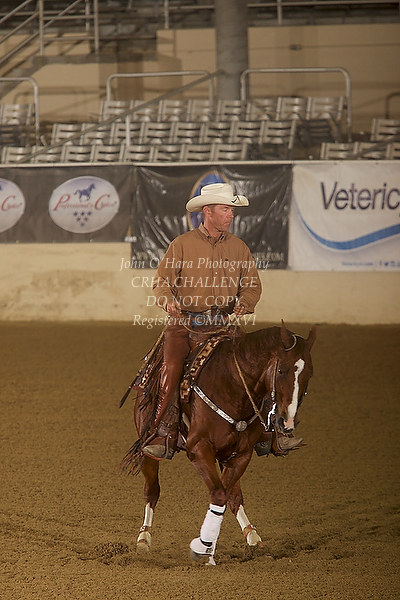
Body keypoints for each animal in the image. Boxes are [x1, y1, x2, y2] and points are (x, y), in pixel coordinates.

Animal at [120, 320, 316, 565]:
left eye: (309, 373)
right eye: (281, 371)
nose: (287, 422)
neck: (232, 385)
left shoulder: (241, 454)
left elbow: (225, 495)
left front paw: (209, 548)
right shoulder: (198, 449)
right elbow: (219, 494)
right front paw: (203, 551)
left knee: (233, 496)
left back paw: (253, 537)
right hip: (148, 446)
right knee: (152, 490)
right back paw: (143, 539)